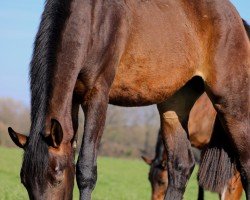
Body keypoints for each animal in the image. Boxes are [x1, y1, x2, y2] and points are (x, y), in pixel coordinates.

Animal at [6, 0, 249, 199]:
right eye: (24, 181)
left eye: (57, 177)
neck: (92, 18)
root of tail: (236, 18)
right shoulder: (72, 99)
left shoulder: (97, 95)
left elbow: (85, 168)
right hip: (174, 106)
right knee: (182, 166)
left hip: (231, 102)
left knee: (244, 165)